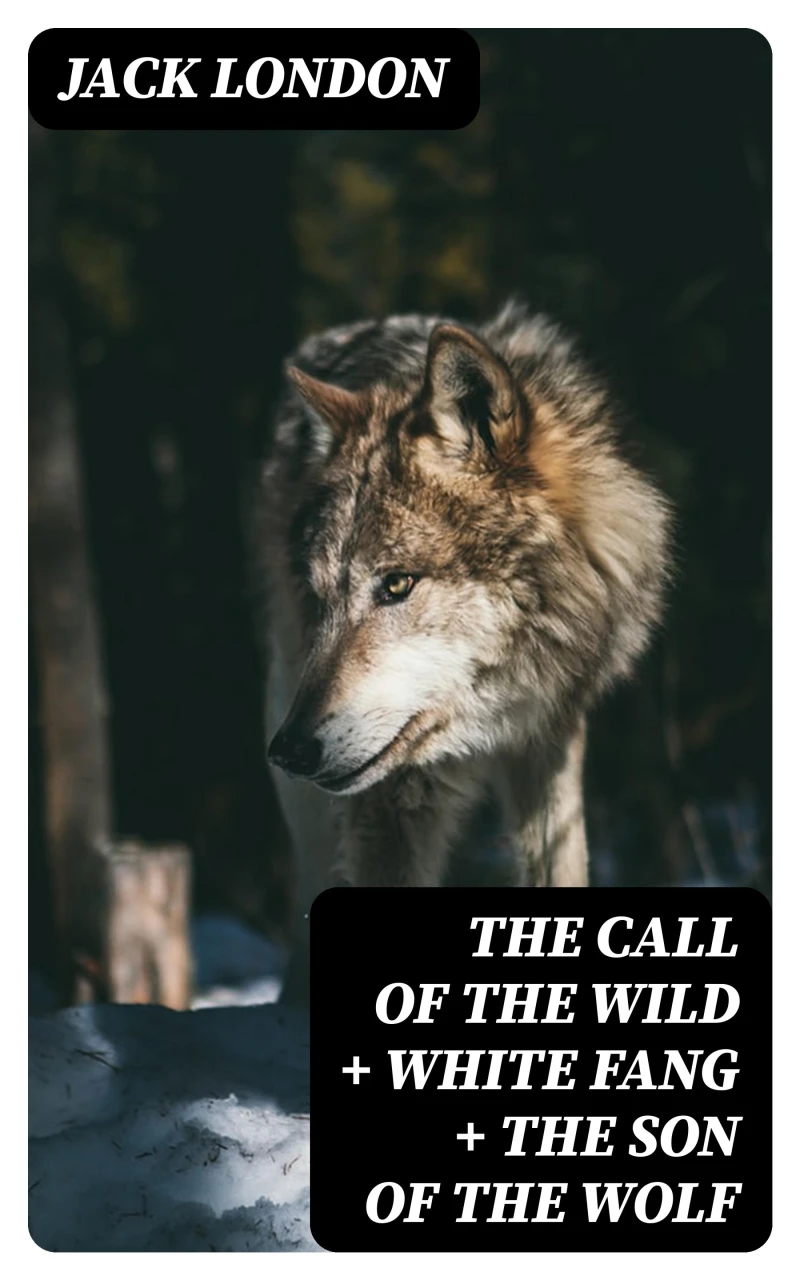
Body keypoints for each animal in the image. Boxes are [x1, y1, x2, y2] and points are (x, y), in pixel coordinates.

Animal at [259, 301, 671, 994]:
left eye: (397, 584)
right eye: (320, 600)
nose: (289, 751)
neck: (485, 720)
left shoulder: (550, 742)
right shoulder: (394, 796)